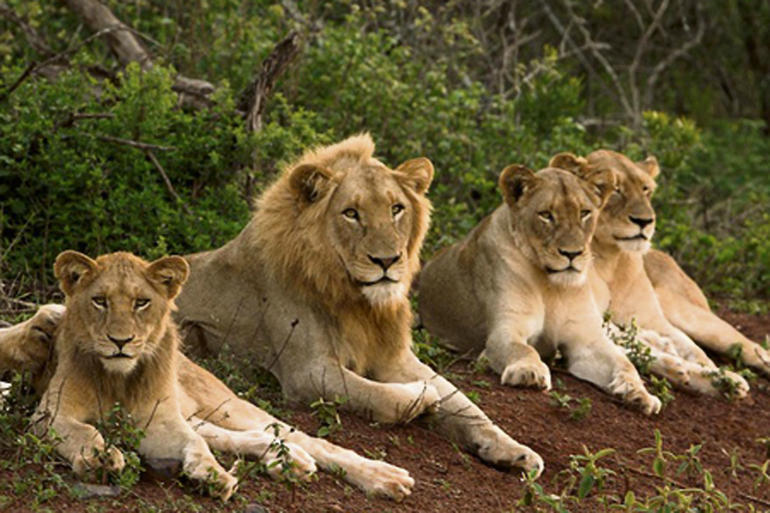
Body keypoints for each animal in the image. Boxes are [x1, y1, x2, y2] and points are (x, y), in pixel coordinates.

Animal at [174, 134, 544, 474]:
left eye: (396, 209)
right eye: (351, 213)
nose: (387, 260)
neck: (360, 304)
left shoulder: (395, 357)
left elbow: (465, 403)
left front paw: (512, 449)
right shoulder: (306, 370)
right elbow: (378, 394)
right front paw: (423, 399)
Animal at [417, 164, 662, 415]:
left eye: (584, 213)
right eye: (546, 215)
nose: (572, 254)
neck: (552, 286)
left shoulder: (586, 341)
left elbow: (625, 363)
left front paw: (639, 393)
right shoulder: (504, 331)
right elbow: (523, 349)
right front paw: (528, 371)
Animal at [551, 150, 764, 395]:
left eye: (645, 189)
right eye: (614, 189)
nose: (645, 221)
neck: (612, 261)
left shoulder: (654, 319)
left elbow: (692, 349)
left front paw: (714, 373)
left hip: (692, 316)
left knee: (752, 347)